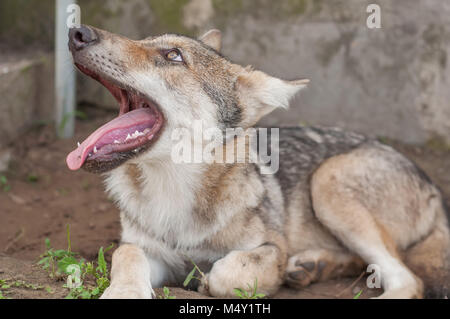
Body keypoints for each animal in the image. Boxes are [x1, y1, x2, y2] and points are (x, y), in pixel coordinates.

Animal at [65, 25, 448, 300]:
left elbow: (226, 272)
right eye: (142, 40)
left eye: (173, 55)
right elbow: (126, 256)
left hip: (328, 181)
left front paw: (207, 280)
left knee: (407, 279)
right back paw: (311, 266)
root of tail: (434, 189)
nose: (77, 32)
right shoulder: (144, 249)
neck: (174, 195)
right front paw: (124, 292)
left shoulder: (267, 247)